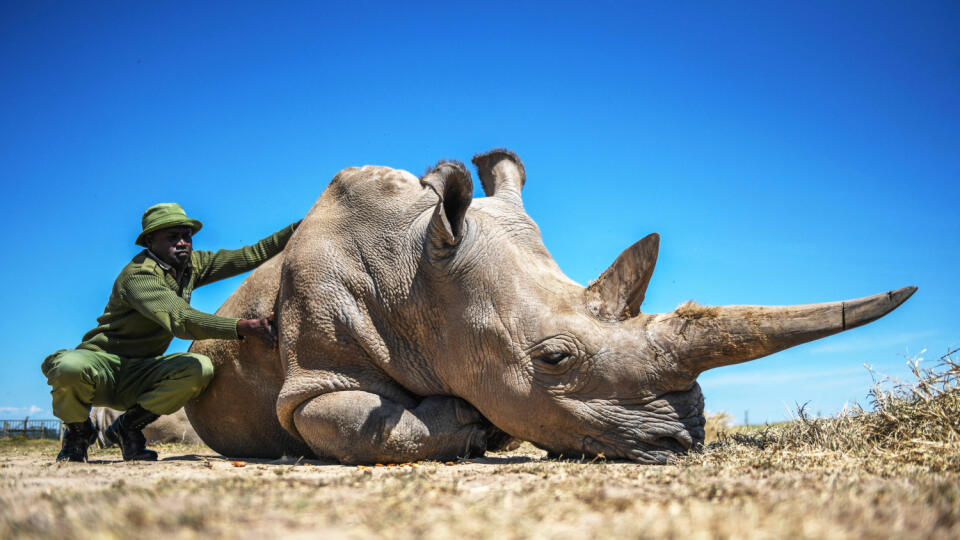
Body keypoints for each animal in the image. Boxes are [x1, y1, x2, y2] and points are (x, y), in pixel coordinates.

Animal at [182, 149, 916, 464]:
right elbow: (355, 424)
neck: (414, 275)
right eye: (556, 359)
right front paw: (469, 425)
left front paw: (487, 428)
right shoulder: (312, 378)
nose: (683, 445)